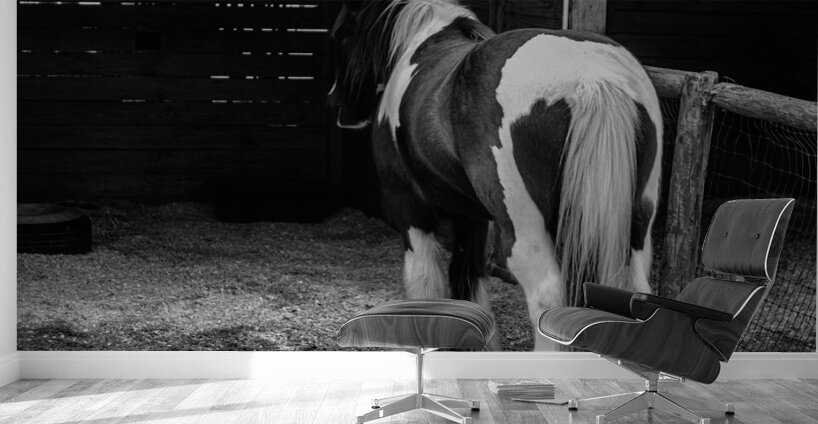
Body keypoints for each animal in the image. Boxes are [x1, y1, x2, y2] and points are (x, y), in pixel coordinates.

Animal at [327, 0, 663, 350]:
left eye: (340, 34)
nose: (335, 103)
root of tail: (593, 75)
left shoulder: (408, 206)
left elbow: (425, 283)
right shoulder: (471, 216)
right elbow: (468, 285)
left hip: (523, 230)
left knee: (547, 294)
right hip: (637, 225)